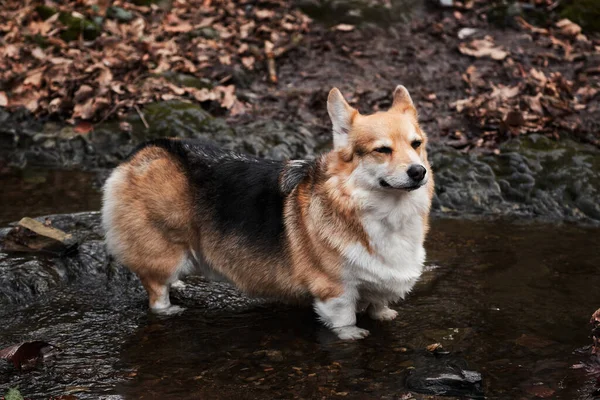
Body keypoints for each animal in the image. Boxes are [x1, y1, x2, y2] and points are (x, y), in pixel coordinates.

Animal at [102, 85, 432, 340]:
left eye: (416, 144)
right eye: (382, 150)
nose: (419, 172)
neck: (382, 211)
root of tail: (146, 150)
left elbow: (379, 304)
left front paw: (384, 315)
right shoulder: (335, 291)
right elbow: (345, 319)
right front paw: (352, 335)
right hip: (163, 253)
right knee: (157, 292)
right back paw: (170, 308)